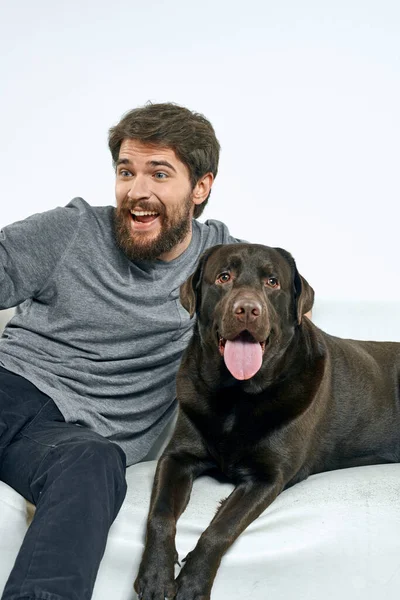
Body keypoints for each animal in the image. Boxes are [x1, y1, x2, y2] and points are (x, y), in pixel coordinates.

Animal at [135, 244, 400, 600]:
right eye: (224, 276)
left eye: (272, 282)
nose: (247, 309)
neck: (236, 396)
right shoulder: (176, 457)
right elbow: (160, 514)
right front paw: (155, 576)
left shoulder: (267, 478)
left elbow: (220, 529)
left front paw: (192, 582)